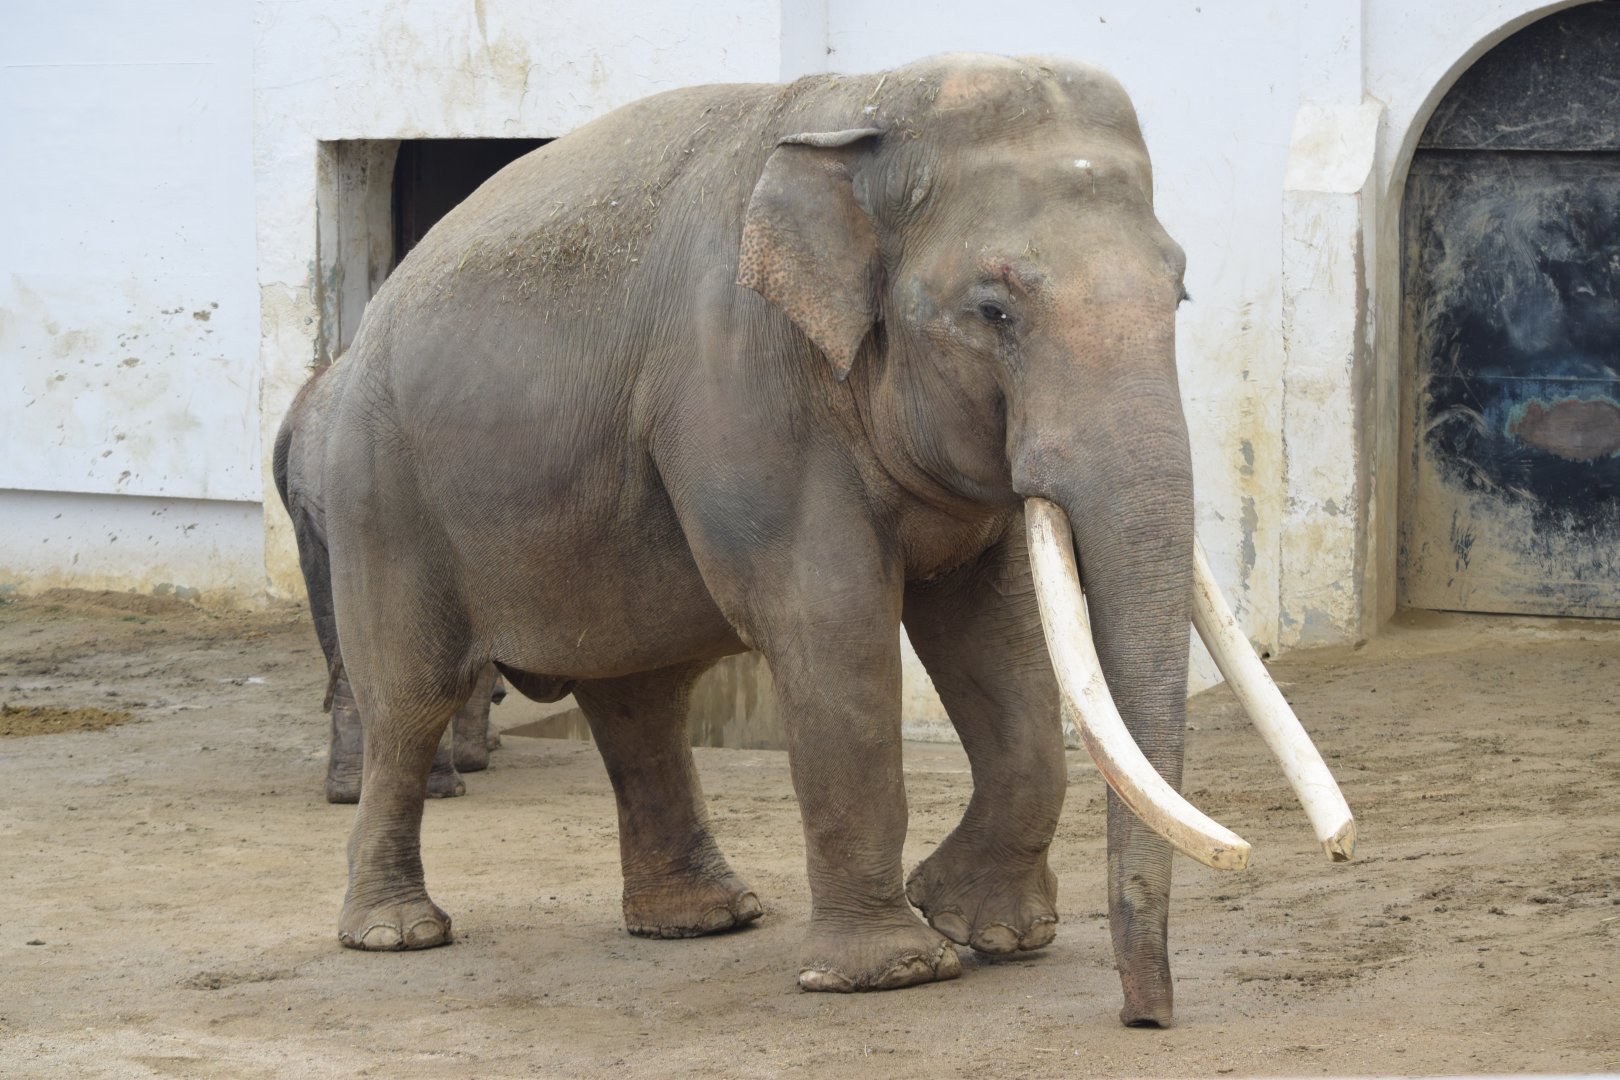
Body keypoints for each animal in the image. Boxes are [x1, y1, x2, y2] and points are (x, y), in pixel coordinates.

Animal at [299, 52, 1349, 1024]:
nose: (1145, 1017)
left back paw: (703, 919)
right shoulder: (742, 386)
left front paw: (989, 931)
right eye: (994, 311)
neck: (866, 106)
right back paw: (397, 934)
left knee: (639, 698)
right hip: (378, 495)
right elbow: (832, 626)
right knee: (413, 696)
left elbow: (993, 631)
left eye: (1179, 296)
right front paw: (895, 970)